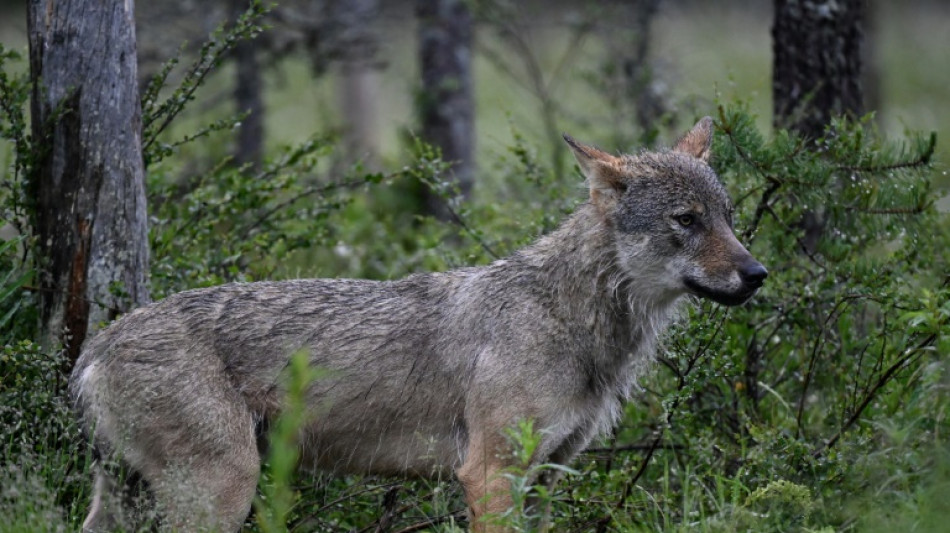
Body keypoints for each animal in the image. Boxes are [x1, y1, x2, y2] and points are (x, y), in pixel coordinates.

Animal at [71, 117, 766, 532]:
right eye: (686, 221)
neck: (572, 321)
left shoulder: (548, 477)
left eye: (729, 218)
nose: (758, 273)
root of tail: (95, 346)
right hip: (222, 491)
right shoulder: (490, 474)